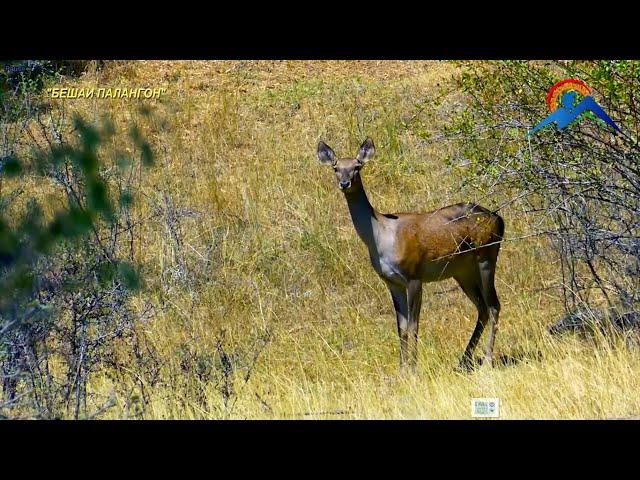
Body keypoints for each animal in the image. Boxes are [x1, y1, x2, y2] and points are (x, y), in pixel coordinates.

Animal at [316, 138, 504, 372]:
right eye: (336, 167)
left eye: (357, 166)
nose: (344, 183)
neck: (382, 238)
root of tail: (499, 219)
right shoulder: (392, 281)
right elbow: (402, 327)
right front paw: (402, 369)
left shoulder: (414, 275)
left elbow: (414, 325)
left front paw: (413, 368)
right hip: (463, 271)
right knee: (482, 308)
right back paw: (463, 360)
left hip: (487, 255)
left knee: (494, 305)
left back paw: (487, 361)